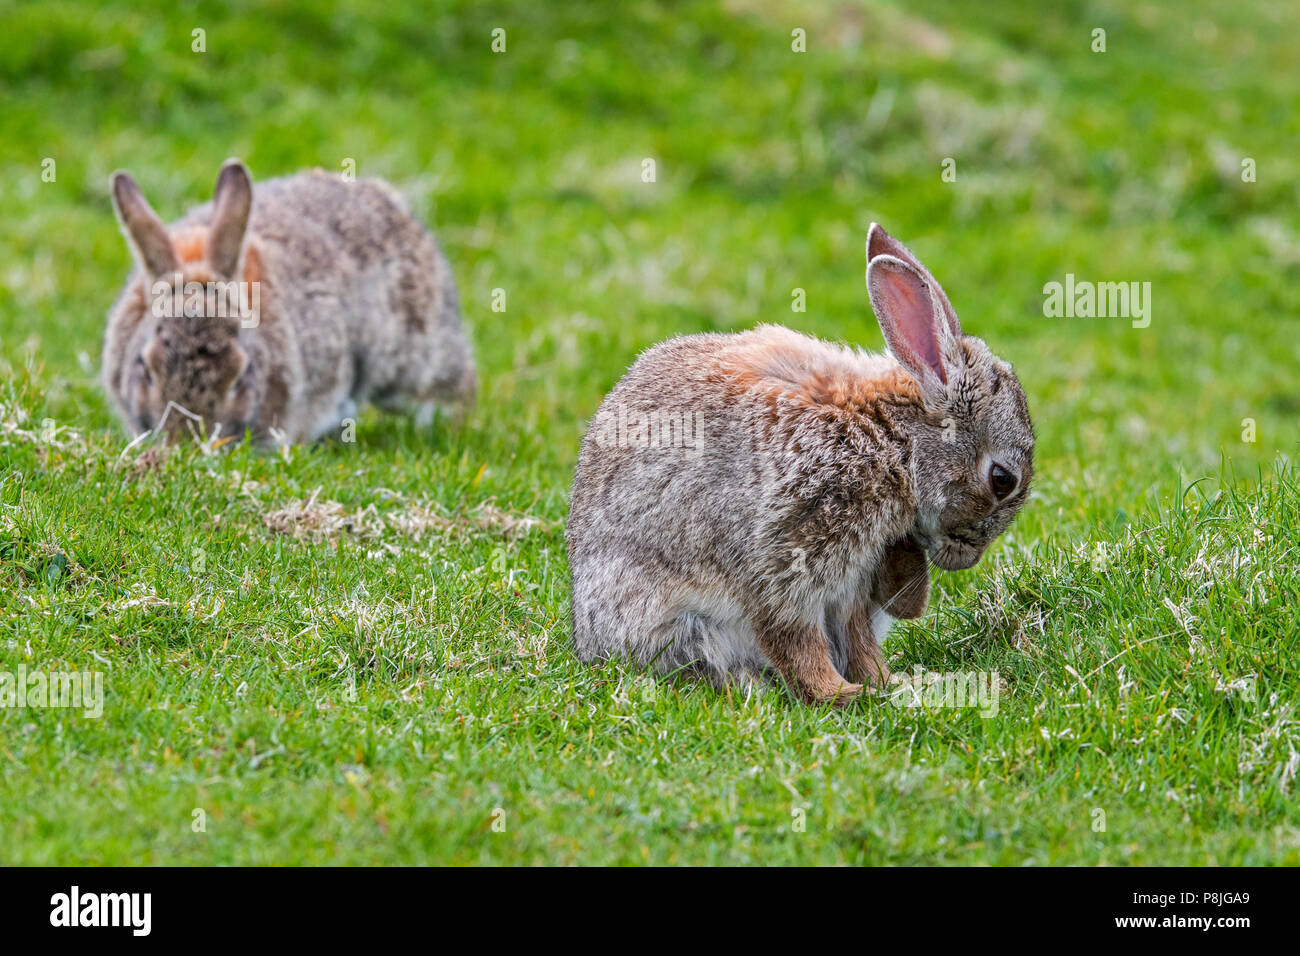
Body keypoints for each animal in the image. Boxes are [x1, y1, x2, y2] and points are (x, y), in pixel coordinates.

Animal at [569, 222, 1034, 702]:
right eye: (1002, 480)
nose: (966, 559)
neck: (892, 439)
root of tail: (589, 638)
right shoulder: (791, 548)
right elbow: (794, 637)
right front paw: (843, 694)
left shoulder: (852, 579)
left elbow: (856, 639)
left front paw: (891, 684)